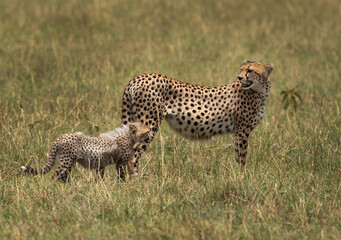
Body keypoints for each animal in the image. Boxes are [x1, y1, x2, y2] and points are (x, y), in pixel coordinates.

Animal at [20, 123, 150, 181]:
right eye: (146, 132)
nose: (149, 138)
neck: (129, 137)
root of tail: (60, 137)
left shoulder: (100, 164)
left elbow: (100, 176)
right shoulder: (120, 163)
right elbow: (121, 176)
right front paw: (123, 186)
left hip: (69, 162)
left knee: (63, 175)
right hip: (67, 161)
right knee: (55, 175)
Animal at [121, 60, 272, 176]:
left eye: (250, 70)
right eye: (242, 70)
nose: (239, 77)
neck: (260, 91)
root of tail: (137, 78)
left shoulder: (239, 131)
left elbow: (237, 154)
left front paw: (239, 176)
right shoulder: (243, 130)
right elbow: (242, 156)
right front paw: (243, 177)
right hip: (149, 124)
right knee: (132, 156)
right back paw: (137, 182)